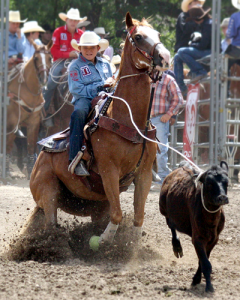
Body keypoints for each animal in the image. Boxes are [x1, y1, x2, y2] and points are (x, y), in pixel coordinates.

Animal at [7, 40, 52, 177]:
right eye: (36, 58)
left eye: (50, 58)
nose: (44, 79)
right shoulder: (12, 121)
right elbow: (8, 144)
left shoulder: (34, 122)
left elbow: (31, 146)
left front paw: (32, 169)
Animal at [26, 12, 171, 248]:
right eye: (138, 37)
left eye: (158, 34)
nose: (166, 57)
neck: (128, 118)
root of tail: (40, 156)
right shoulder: (109, 170)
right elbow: (118, 215)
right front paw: (101, 241)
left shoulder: (144, 173)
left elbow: (138, 217)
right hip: (47, 190)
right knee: (51, 223)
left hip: (95, 202)